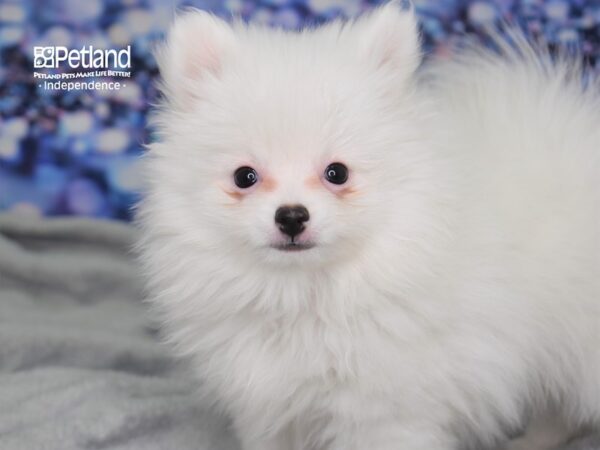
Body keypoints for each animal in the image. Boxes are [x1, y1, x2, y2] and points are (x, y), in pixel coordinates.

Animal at [136, 1, 600, 448]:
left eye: (337, 173)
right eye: (244, 176)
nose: (292, 215)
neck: (306, 295)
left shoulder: (385, 411)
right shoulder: (272, 406)